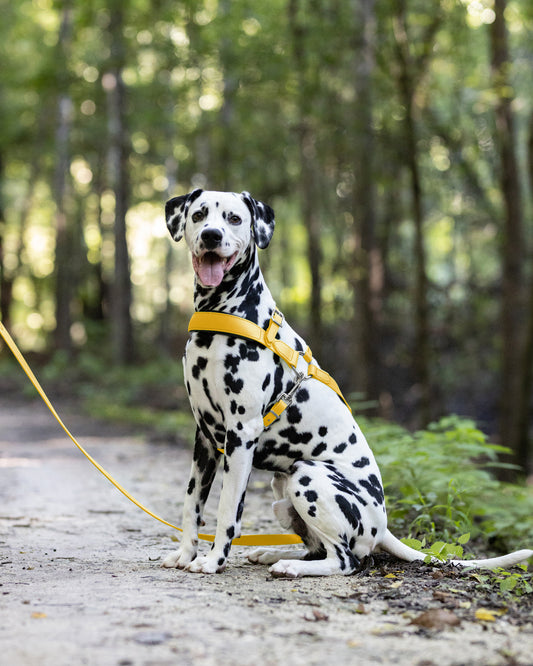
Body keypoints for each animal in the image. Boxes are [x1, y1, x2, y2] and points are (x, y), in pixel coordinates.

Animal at [162, 188, 532, 576]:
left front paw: (212, 560)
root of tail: (383, 527)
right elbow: (192, 504)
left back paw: (291, 566)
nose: (211, 236)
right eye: (199, 215)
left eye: (234, 218)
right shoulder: (205, 437)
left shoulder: (240, 435)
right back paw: (275, 555)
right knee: (316, 549)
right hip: (283, 489)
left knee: (345, 560)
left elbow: (227, 510)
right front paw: (185, 554)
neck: (224, 314)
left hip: (307, 476)